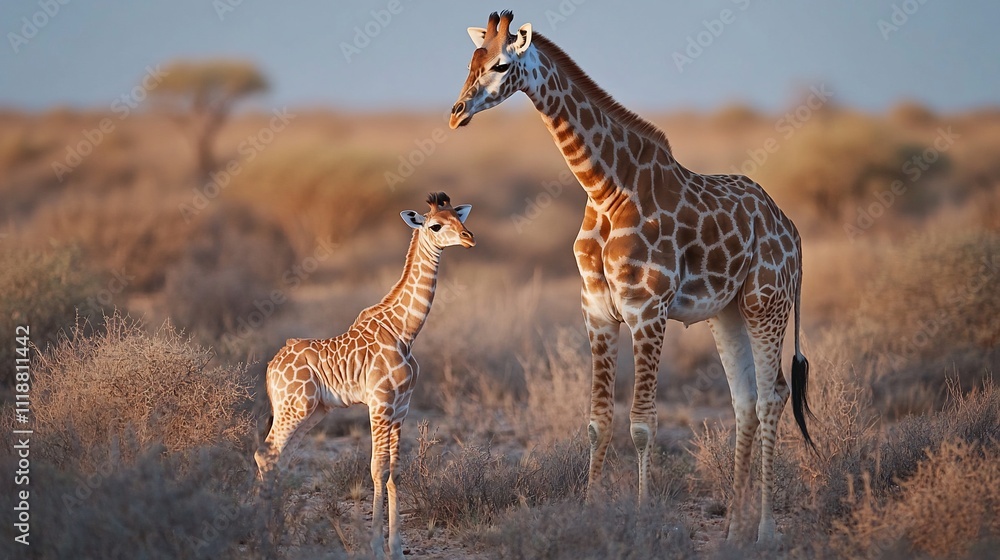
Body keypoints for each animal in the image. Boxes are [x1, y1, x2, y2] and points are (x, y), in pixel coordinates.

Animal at [254, 193, 474, 559]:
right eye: (435, 225)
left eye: (458, 216)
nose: (469, 238)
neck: (405, 330)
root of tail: (272, 368)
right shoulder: (379, 403)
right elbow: (376, 468)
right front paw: (374, 546)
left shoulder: (402, 407)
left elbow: (394, 470)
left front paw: (396, 549)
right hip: (295, 407)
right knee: (265, 454)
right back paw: (260, 535)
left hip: (311, 412)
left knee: (279, 458)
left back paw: (278, 533)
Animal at [449, 11, 813, 542]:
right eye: (470, 61)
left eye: (500, 64)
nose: (456, 113)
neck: (605, 190)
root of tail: (793, 232)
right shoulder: (597, 310)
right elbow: (598, 420)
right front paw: (588, 513)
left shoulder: (647, 309)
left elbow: (642, 423)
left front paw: (641, 521)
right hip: (727, 312)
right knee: (744, 399)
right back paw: (733, 530)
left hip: (767, 302)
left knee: (773, 395)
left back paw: (765, 531)